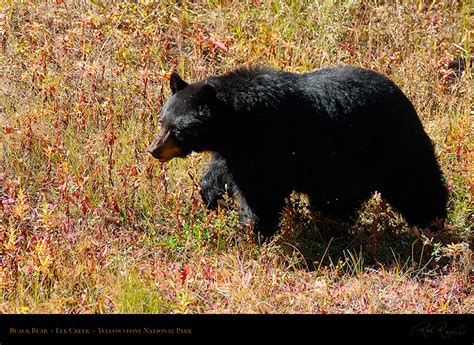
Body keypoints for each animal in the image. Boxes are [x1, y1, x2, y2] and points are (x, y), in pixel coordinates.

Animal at [148, 65, 448, 236]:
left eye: (178, 129)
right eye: (162, 121)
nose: (154, 150)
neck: (239, 122)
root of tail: (404, 99)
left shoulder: (270, 143)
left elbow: (261, 193)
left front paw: (252, 231)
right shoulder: (237, 150)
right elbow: (220, 171)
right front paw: (211, 197)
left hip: (389, 145)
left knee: (415, 184)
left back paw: (432, 224)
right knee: (336, 200)